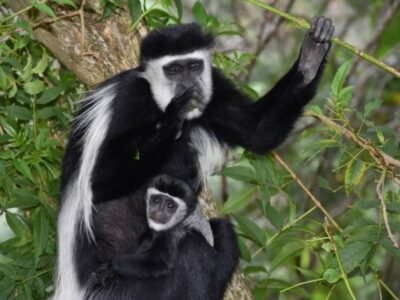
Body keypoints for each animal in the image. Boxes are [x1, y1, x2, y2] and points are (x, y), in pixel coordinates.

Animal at [89, 173, 239, 300]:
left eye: (170, 205)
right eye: (156, 200)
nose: (158, 211)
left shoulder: (170, 233)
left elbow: (158, 263)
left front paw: (111, 266)